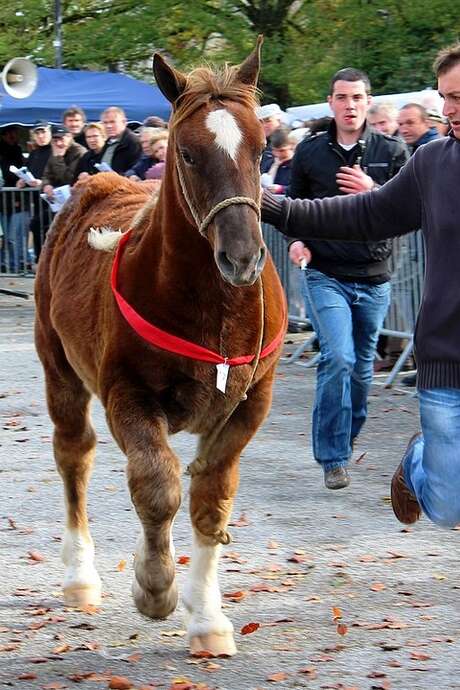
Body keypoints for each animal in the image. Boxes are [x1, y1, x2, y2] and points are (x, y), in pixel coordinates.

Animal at [34, 36, 287, 657]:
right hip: (60, 370)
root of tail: (97, 181)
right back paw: (80, 575)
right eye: (188, 154)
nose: (242, 257)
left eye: (262, 148)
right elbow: (157, 485)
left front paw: (209, 618)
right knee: (73, 452)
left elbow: (211, 498)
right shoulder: (128, 393)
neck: (214, 313)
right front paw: (155, 585)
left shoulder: (250, 402)